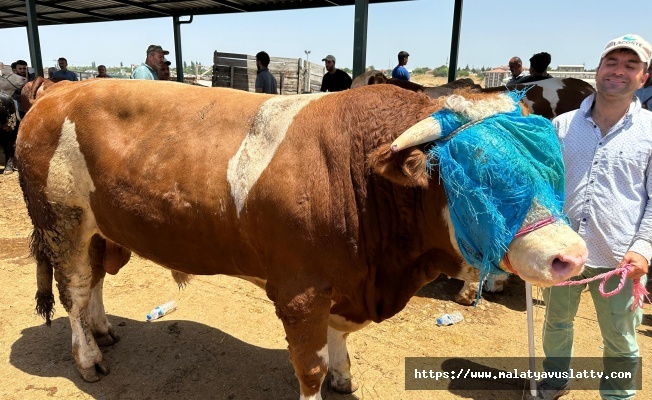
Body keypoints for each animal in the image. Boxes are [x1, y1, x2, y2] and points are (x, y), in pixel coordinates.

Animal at [15, 79, 588, 398]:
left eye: (550, 163)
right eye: (477, 176)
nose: (572, 255)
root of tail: (58, 89)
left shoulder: (342, 283)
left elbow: (338, 341)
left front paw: (344, 374)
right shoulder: (300, 293)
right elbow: (308, 367)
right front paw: (326, 375)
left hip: (100, 229)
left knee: (94, 280)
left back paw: (104, 329)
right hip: (61, 221)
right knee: (74, 290)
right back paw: (89, 356)